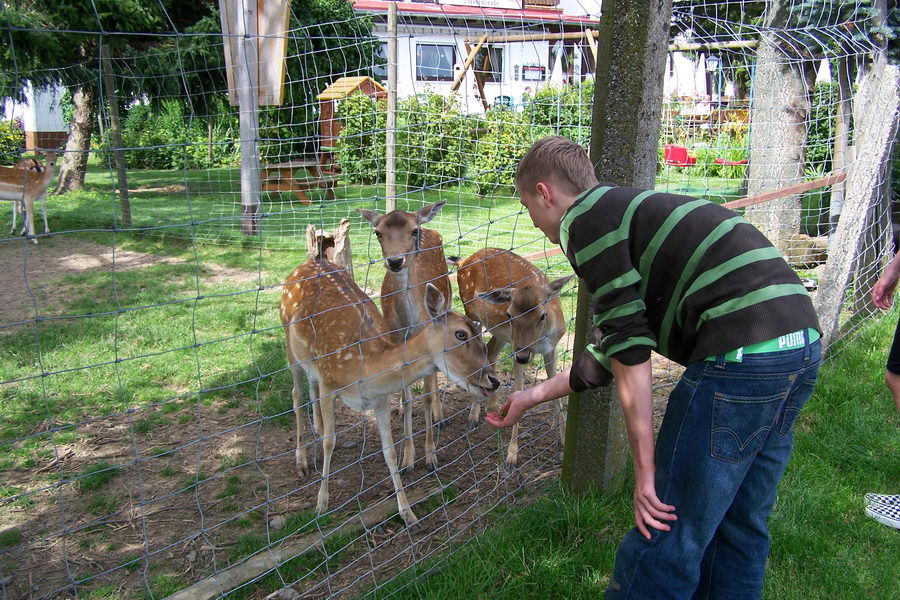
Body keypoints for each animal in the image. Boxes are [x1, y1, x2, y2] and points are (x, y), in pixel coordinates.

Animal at [280, 258, 500, 524]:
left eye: (479, 333)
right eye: (461, 334)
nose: (493, 380)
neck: (365, 368)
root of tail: (308, 263)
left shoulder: (380, 399)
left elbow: (390, 452)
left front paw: (407, 512)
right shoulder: (329, 383)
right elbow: (330, 442)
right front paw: (321, 504)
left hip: (311, 367)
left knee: (310, 390)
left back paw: (317, 431)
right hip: (290, 346)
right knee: (297, 395)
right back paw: (301, 461)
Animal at [358, 202, 454, 474]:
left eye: (413, 231)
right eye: (378, 233)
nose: (395, 260)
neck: (410, 324)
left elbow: (428, 395)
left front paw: (431, 456)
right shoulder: (395, 340)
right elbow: (410, 398)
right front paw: (407, 459)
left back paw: (440, 417)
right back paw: (401, 409)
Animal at [454, 246, 572, 466]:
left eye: (542, 315)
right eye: (509, 315)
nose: (524, 357)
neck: (539, 343)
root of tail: (462, 260)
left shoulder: (552, 348)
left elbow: (556, 389)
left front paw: (562, 439)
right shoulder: (516, 350)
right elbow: (518, 390)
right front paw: (511, 455)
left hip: (502, 336)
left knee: (490, 352)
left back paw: (489, 406)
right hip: (473, 316)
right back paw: (473, 416)